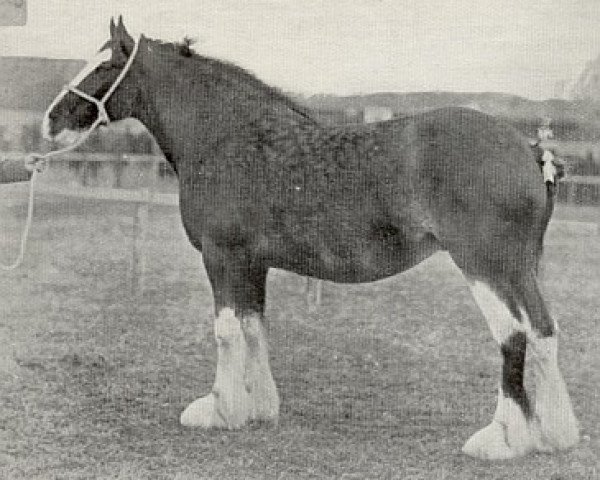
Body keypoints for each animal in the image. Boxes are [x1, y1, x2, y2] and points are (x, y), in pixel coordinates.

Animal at [41, 17, 576, 462]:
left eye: (107, 64)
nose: (50, 119)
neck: (227, 139)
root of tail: (529, 150)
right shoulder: (251, 263)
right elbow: (254, 328)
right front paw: (258, 408)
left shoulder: (222, 256)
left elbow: (227, 331)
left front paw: (220, 409)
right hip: (520, 269)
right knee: (544, 332)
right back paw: (554, 433)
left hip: (485, 265)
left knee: (513, 336)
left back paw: (502, 439)